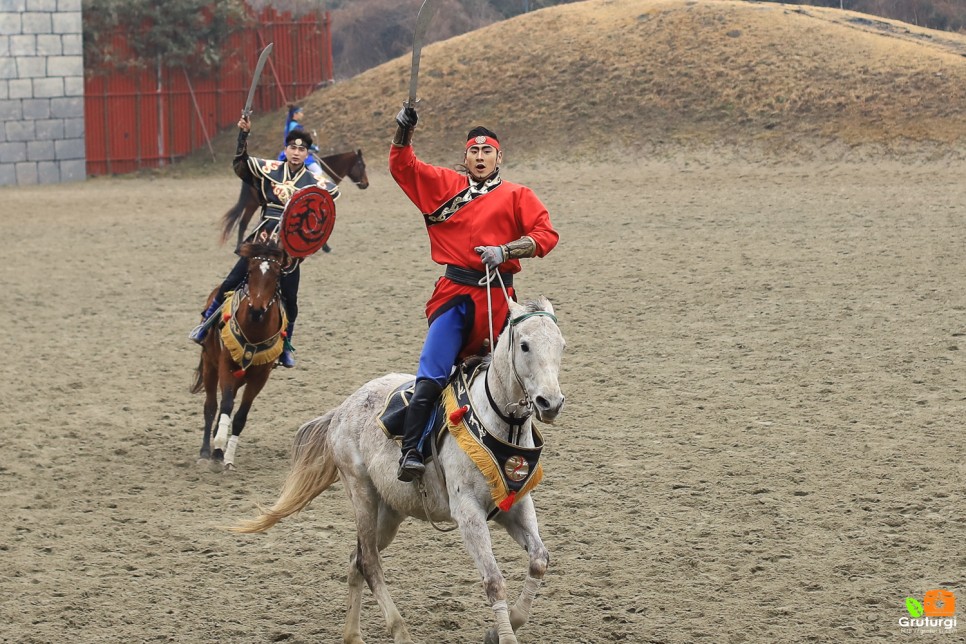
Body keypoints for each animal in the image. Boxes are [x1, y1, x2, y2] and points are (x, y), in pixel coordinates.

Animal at [189, 242, 288, 472]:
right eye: (250, 272)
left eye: (276, 274)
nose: (257, 310)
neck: (255, 328)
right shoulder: (226, 364)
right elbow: (224, 405)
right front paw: (217, 447)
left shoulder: (260, 376)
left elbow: (241, 416)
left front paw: (227, 458)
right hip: (210, 365)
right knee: (211, 407)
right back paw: (206, 452)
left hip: (240, 377)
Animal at [233, 296, 568, 644]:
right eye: (525, 345)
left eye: (561, 345)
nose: (550, 403)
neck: (498, 423)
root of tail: (342, 410)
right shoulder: (468, 513)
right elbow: (494, 581)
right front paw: (503, 633)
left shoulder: (514, 505)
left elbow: (539, 560)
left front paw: (499, 628)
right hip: (362, 495)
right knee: (369, 562)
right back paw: (399, 630)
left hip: (389, 511)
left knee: (356, 559)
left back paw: (352, 634)